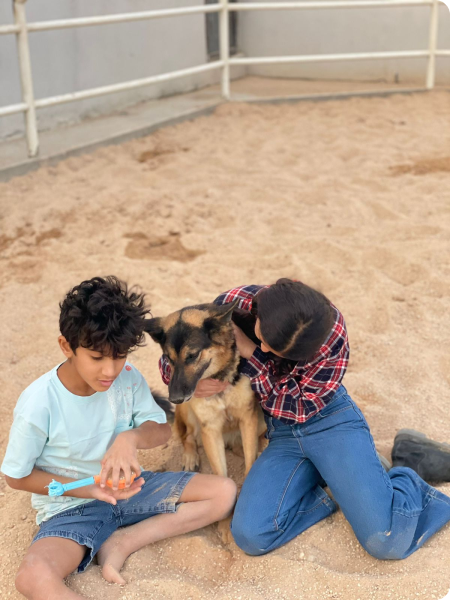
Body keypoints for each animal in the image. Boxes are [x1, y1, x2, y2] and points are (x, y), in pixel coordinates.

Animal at [144, 300, 266, 478]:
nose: (175, 398)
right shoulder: (210, 429)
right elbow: (221, 477)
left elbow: (250, 462)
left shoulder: (248, 419)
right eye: (168, 358)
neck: (219, 377)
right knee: (187, 436)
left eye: (192, 355)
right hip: (188, 412)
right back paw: (190, 458)